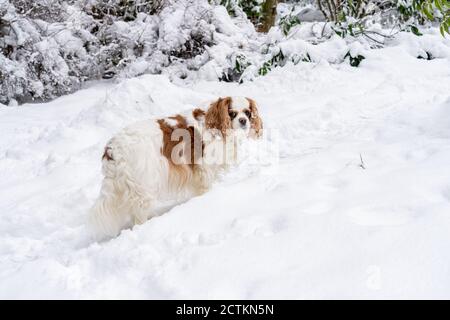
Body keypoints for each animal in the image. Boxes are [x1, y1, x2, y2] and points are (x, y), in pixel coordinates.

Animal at [89, 96, 262, 239]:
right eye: (232, 113)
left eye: (247, 113)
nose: (243, 121)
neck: (217, 127)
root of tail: (112, 149)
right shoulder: (204, 169)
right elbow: (205, 188)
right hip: (143, 185)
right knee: (139, 214)